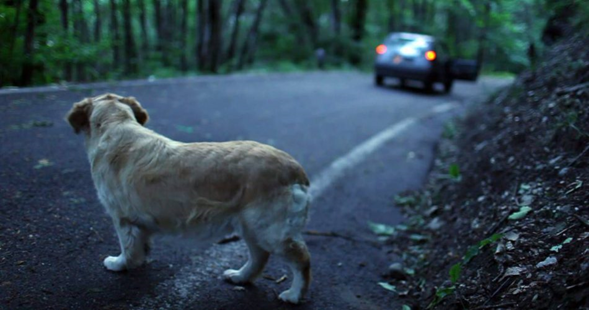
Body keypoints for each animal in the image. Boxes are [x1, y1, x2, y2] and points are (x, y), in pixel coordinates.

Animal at [65, 92, 312, 302]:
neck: (116, 122)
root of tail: (297, 170)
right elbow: (141, 245)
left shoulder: (121, 217)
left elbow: (127, 246)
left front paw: (119, 264)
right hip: (250, 225)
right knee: (260, 256)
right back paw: (240, 277)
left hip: (270, 229)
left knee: (302, 259)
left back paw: (293, 295)